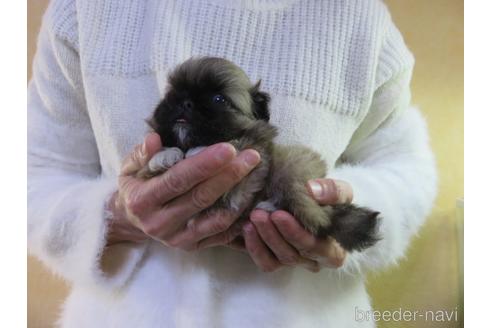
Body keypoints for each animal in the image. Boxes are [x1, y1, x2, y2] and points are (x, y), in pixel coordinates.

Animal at [138, 57, 380, 251]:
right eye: (172, 93)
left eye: (219, 99)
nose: (184, 102)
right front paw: (163, 156)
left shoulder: (248, 172)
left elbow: (234, 146)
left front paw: (199, 151)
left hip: (290, 172)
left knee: (317, 218)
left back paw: (270, 207)